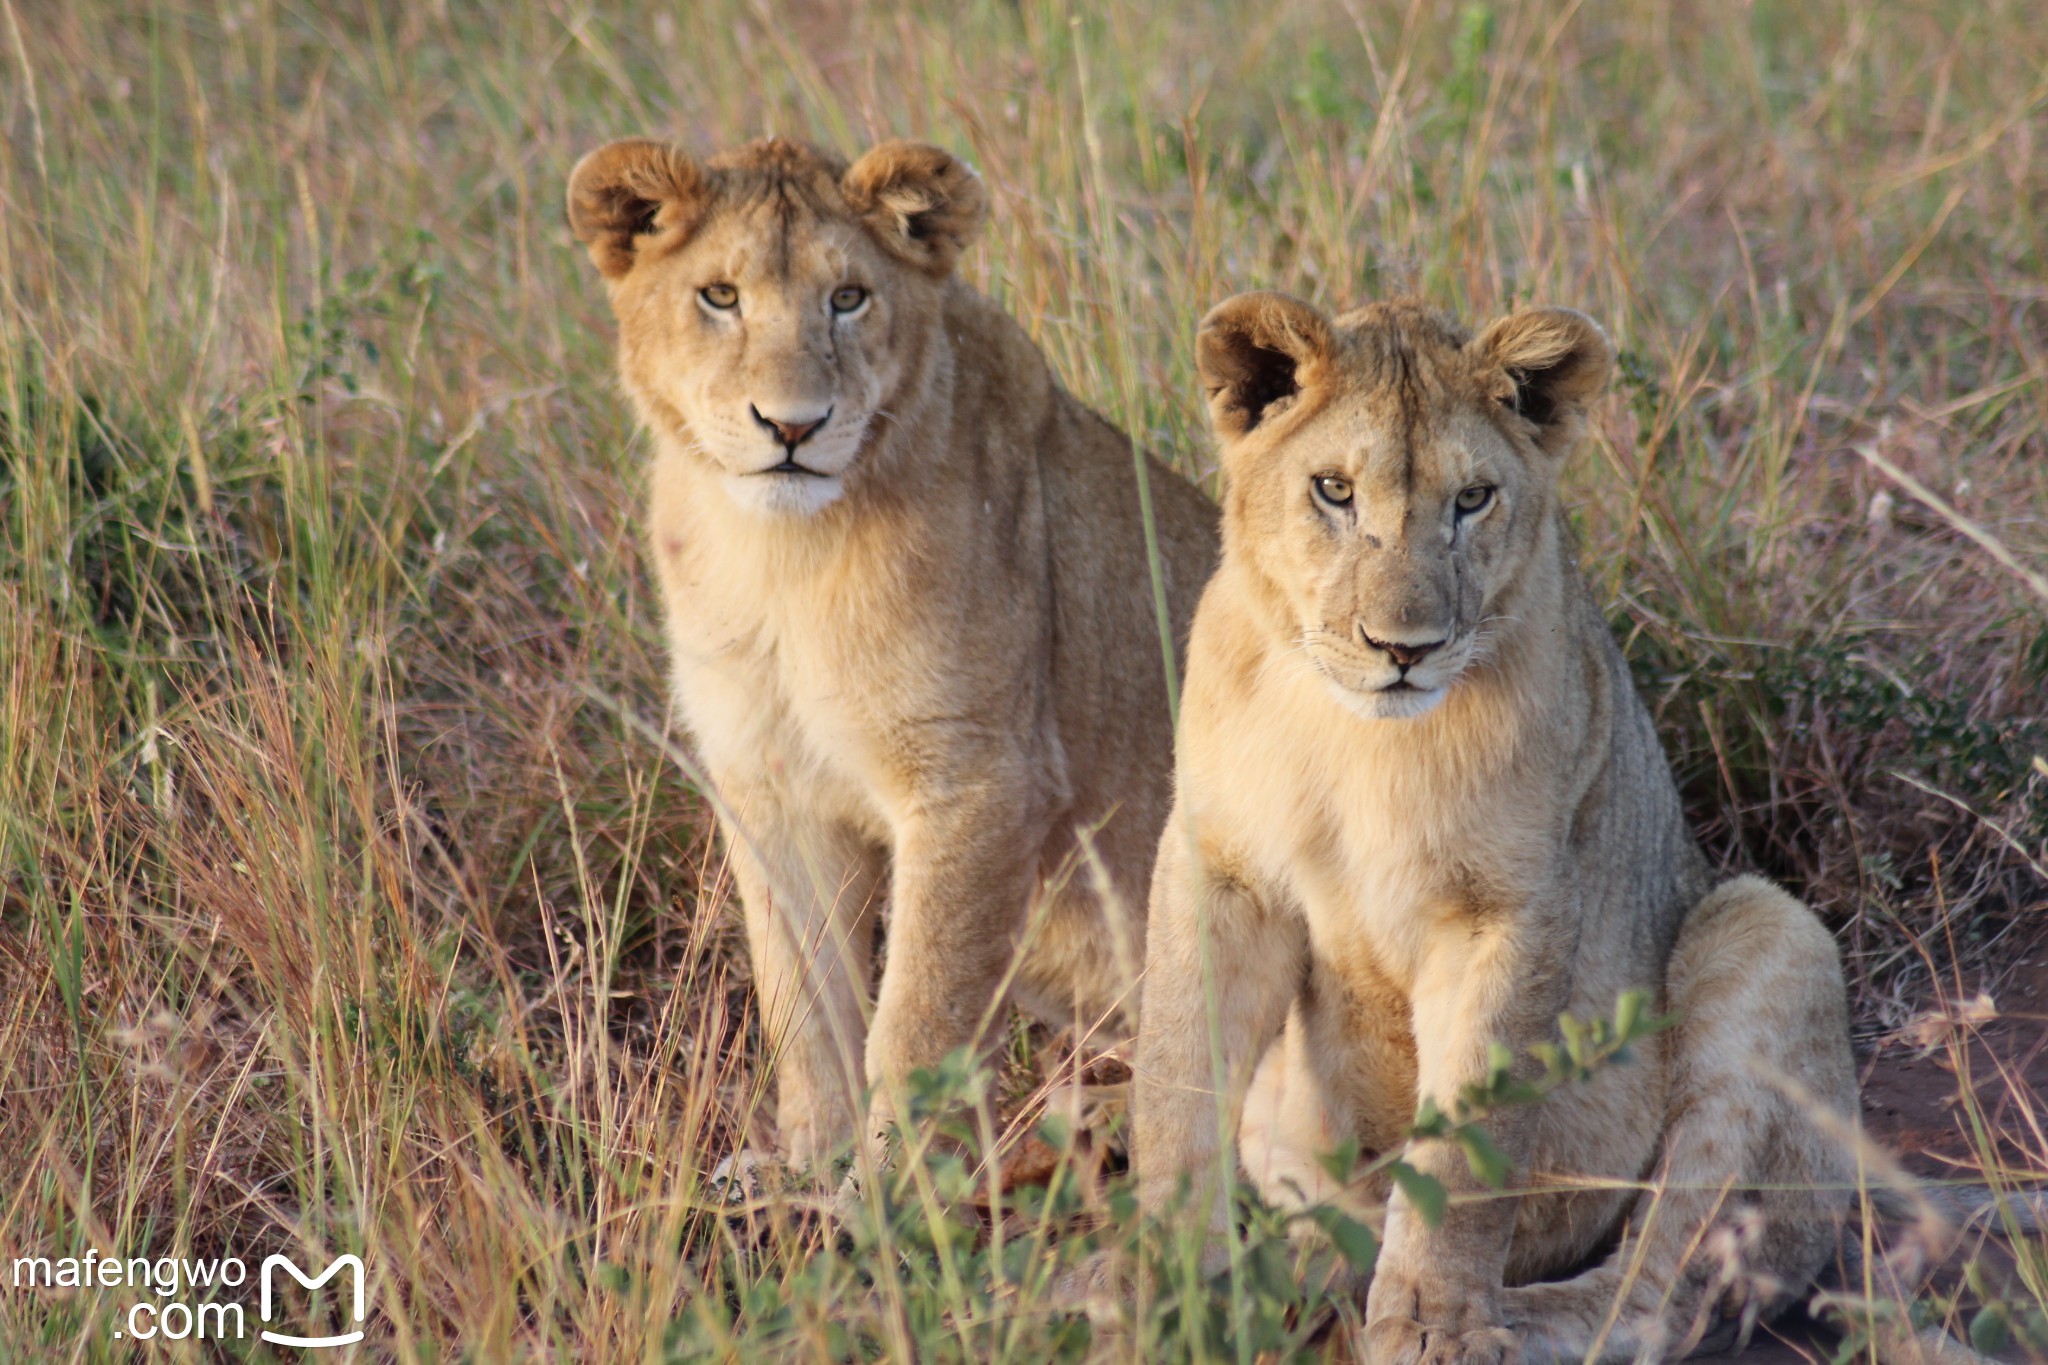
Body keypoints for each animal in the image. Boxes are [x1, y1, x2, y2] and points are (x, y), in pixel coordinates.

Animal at [565, 133, 1212, 1170]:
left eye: (848, 297)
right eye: (720, 295)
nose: (791, 426)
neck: (780, 558)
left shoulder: (977, 778)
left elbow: (918, 1018)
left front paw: (901, 1186)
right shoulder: (770, 785)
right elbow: (803, 998)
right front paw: (806, 1165)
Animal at [1138, 294, 1875, 1358]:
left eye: (1474, 499)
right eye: (1333, 490)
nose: (1403, 648)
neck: (1356, 740)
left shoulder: (1510, 909)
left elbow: (1463, 1151)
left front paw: (1434, 1323)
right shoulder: (1220, 870)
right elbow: (1175, 1081)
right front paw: (1166, 1291)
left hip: (1770, 927)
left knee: (1659, 1293)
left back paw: (1488, 1320)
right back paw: (1304, 1272)